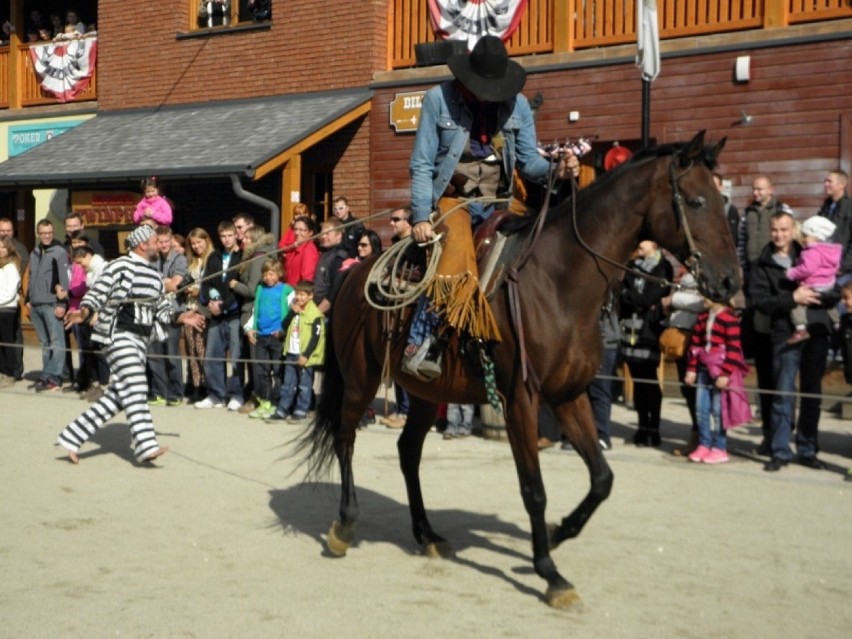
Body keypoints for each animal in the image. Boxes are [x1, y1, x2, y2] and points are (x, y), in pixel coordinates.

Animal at [300, 130, 740, 608]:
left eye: (723, 200)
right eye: (696, 201)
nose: (730, 281)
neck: (558, 282)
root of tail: (352, 275)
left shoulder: (568, 396)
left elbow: (602, 478)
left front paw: (560, 532)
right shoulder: (520, 401)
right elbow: (535, 490)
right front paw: (550, 572)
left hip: (427, 393)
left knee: (407, 452)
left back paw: (427, 534)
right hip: (360, 378)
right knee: (345, 438)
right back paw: (345, 525)